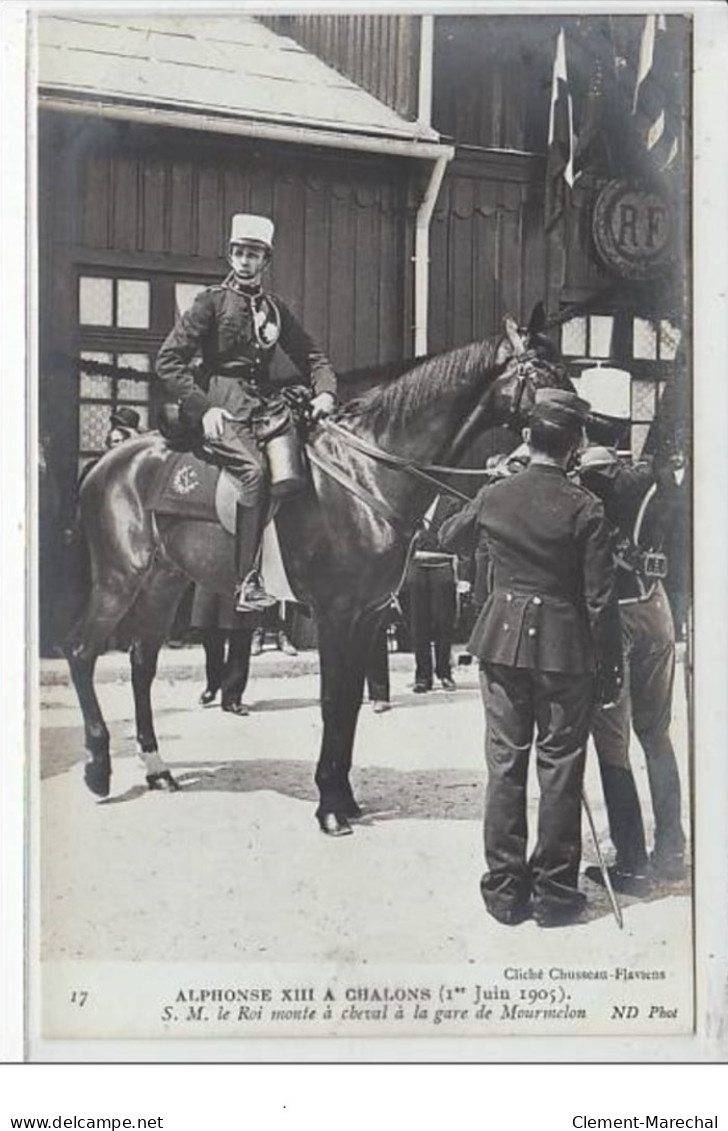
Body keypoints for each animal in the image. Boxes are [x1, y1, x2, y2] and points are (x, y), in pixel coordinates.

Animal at [65, 314, 572, 836]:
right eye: (544, 371)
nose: (578, 435)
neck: (368, 473)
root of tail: (106, 462)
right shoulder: (335, 614)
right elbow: (332, 701)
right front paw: (330, 806)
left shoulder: (369, 616)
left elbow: (349, 703)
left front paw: (344, 797)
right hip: (119, 579)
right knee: (81, 652)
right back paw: (98, 769)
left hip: (163, 584)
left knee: (141, 665)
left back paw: (157, 769)